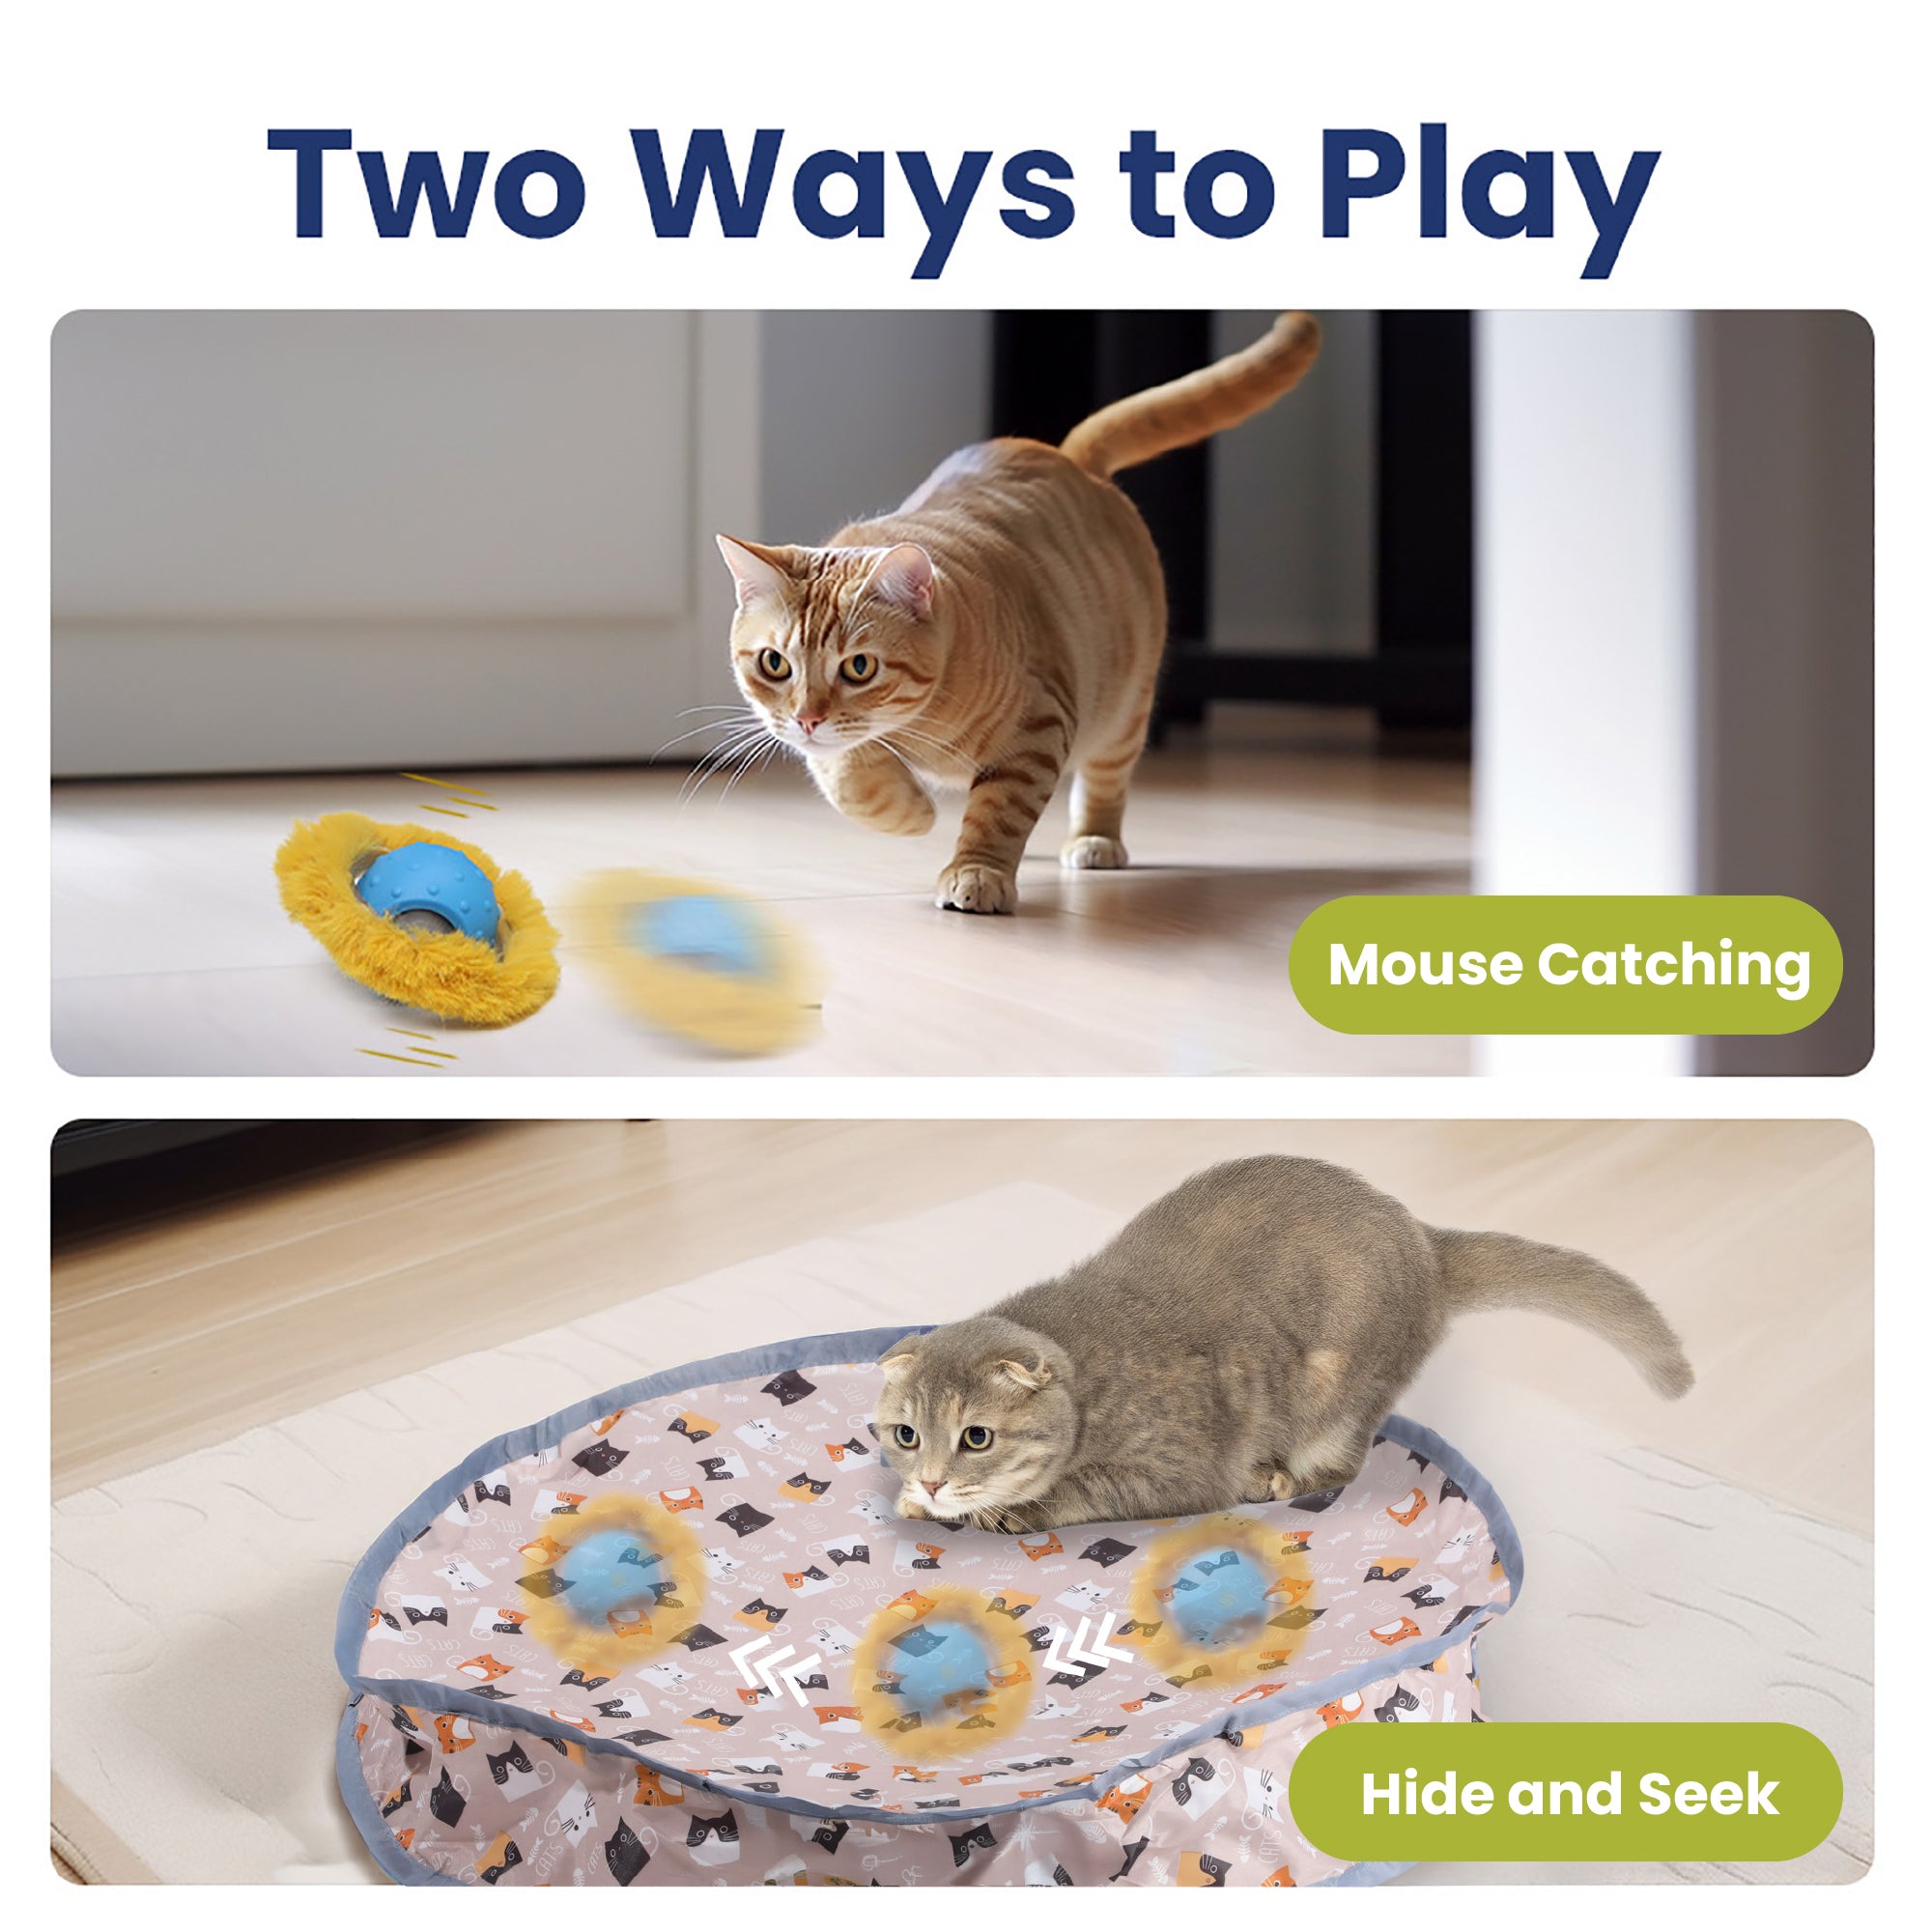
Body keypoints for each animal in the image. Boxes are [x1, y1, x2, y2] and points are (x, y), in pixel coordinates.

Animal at [719, 313, 1321, 916]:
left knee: (1104, 780)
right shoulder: (823, 749)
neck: (915, 730)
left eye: (859, 668)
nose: (807, 718)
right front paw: (913, 811)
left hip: (1122, 709)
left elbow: (998, 814)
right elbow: (850, 777)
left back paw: (1094, 840)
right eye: (775, 663)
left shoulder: (1039, 725)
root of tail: (1069, 457)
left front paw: (975, 870)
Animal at [877, 1151, 1692, 1530]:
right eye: (906, 1433)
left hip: (1340, 1393)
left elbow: (1083, 1487)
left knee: (1340, 1466)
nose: (933, 1480)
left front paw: (1002, 1509)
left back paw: (1272, 1480)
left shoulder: (1175, 1467)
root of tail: (1425, 1241)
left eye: (977, 1436)